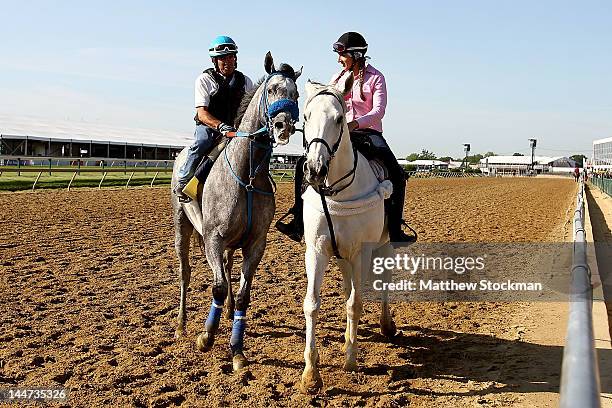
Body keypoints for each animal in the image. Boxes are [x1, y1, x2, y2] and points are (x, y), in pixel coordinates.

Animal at [171, 52, 300, 372]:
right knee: (185, 273)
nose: (283, 126)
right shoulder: (213, 239)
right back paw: (181, 325)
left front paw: (237, 350)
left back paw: (227, 313)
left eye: (296, 94)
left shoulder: (255, 244)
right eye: (272, 90)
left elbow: (243, 296)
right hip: (182, 226)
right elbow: (216, 287)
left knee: (228, 270)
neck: (247, 175)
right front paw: (206, 337)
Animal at [300, 75, 396, 392]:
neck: (338, 192)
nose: (315, 169)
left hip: (385, 248)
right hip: (342, 257)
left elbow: (356, 303)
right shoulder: (317, 251)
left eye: (339, 118)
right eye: (306, 116)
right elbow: (312, 304)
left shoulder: (361, 253)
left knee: (383, 286)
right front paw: (311, 373)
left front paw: (351, 360)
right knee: (347, 289)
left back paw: (386, 325)